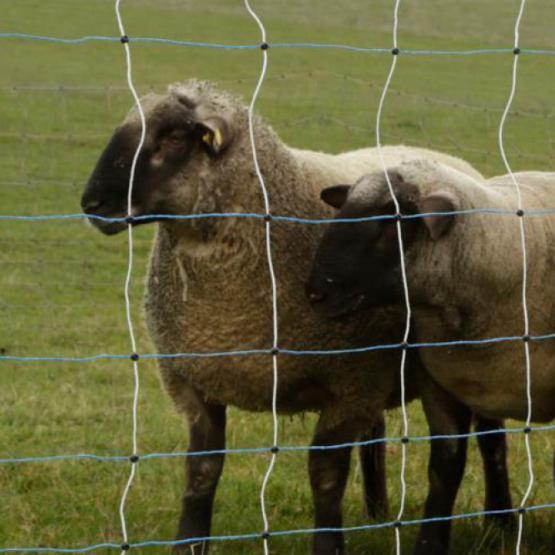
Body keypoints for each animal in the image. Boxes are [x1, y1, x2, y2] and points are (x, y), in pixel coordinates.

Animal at [80, 79, 510, 555]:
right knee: (375, 433)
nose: (91, 202)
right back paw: (376, 512)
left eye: (172, 138)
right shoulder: (193, 382)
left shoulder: (348, 383)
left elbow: (325, 475)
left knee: (492, 439)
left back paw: (498, 521)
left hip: (473, 359)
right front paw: (188, 544)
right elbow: (201, 471)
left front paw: (328, 544)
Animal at [306, 159, 552, 552]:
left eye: (391, 223)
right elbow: (445, 467)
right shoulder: (442, 388)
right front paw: (429, 543)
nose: (315, 293)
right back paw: (499, 524)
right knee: (493, 445)